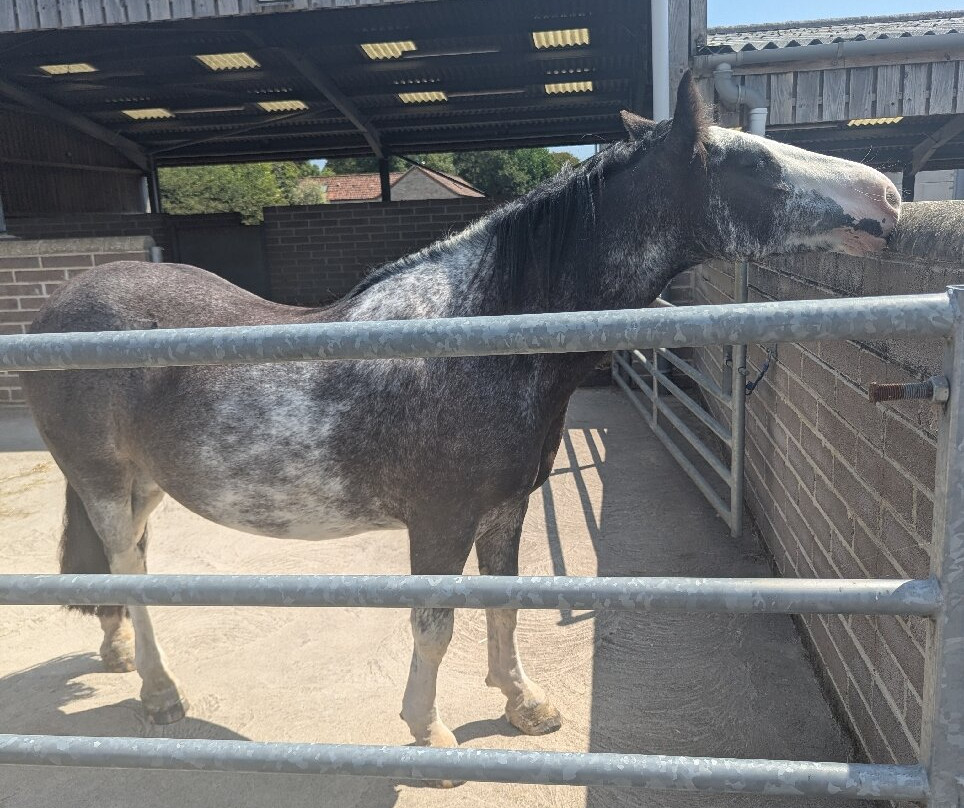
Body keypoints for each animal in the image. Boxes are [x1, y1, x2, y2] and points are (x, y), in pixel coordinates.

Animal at [22, 74, 899, 760]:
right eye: (754, 163)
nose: (889, 197)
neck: (482, 335)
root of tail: (57, 313)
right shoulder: (439, 521)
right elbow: (435, 622)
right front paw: (429, 732)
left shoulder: (505, 508)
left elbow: (504, 603)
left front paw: (523, 704)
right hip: (104, 482)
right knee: (128, 568)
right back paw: (160, 693)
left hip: (145, 486)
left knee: (125, 564)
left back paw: (118, 655)